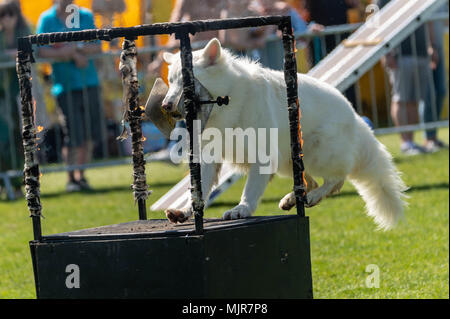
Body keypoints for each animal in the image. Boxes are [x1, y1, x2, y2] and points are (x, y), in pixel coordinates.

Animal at [160, 38, 406, 231]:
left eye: (186, 83)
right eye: (171, 81)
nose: (165, 105)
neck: (225, 102)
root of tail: (355, 115)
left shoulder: (263, 157)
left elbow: (250, 189)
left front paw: (241, 209)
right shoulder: (209, 159)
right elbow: (197, 192)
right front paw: (185, 211)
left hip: (316, 153)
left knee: (336, 180)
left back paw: (313, 197)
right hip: (289, 162)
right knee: (311, 182)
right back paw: (292, 199)